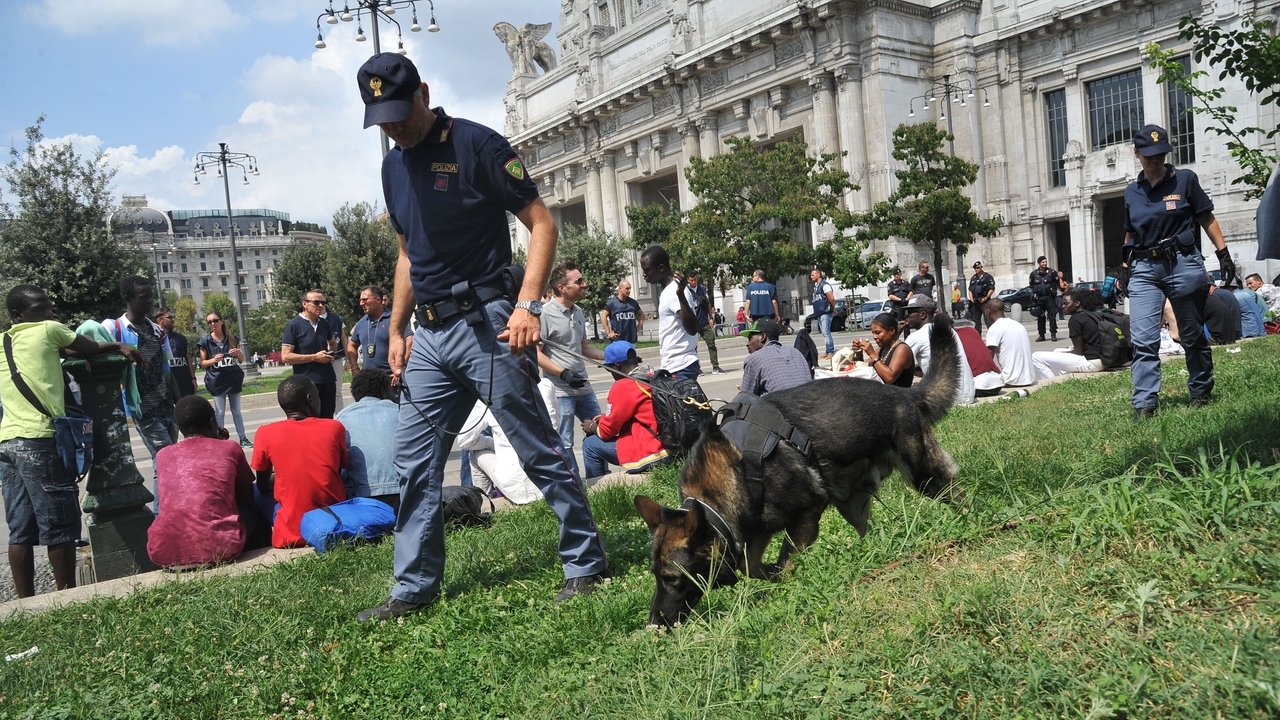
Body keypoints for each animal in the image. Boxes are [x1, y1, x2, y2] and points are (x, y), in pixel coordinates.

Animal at [634, 312, 962, 622]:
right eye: (656, 575)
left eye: (671, 578)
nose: (653, 624)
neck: (732, 475)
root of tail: (904, 393)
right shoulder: (758, 529)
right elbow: (751, 566)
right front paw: (771, 574)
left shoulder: (806, 515)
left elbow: (787, 560)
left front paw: (785, 580)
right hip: (852, 504)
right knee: (866, 527)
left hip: (924, 475)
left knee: (954, 491)